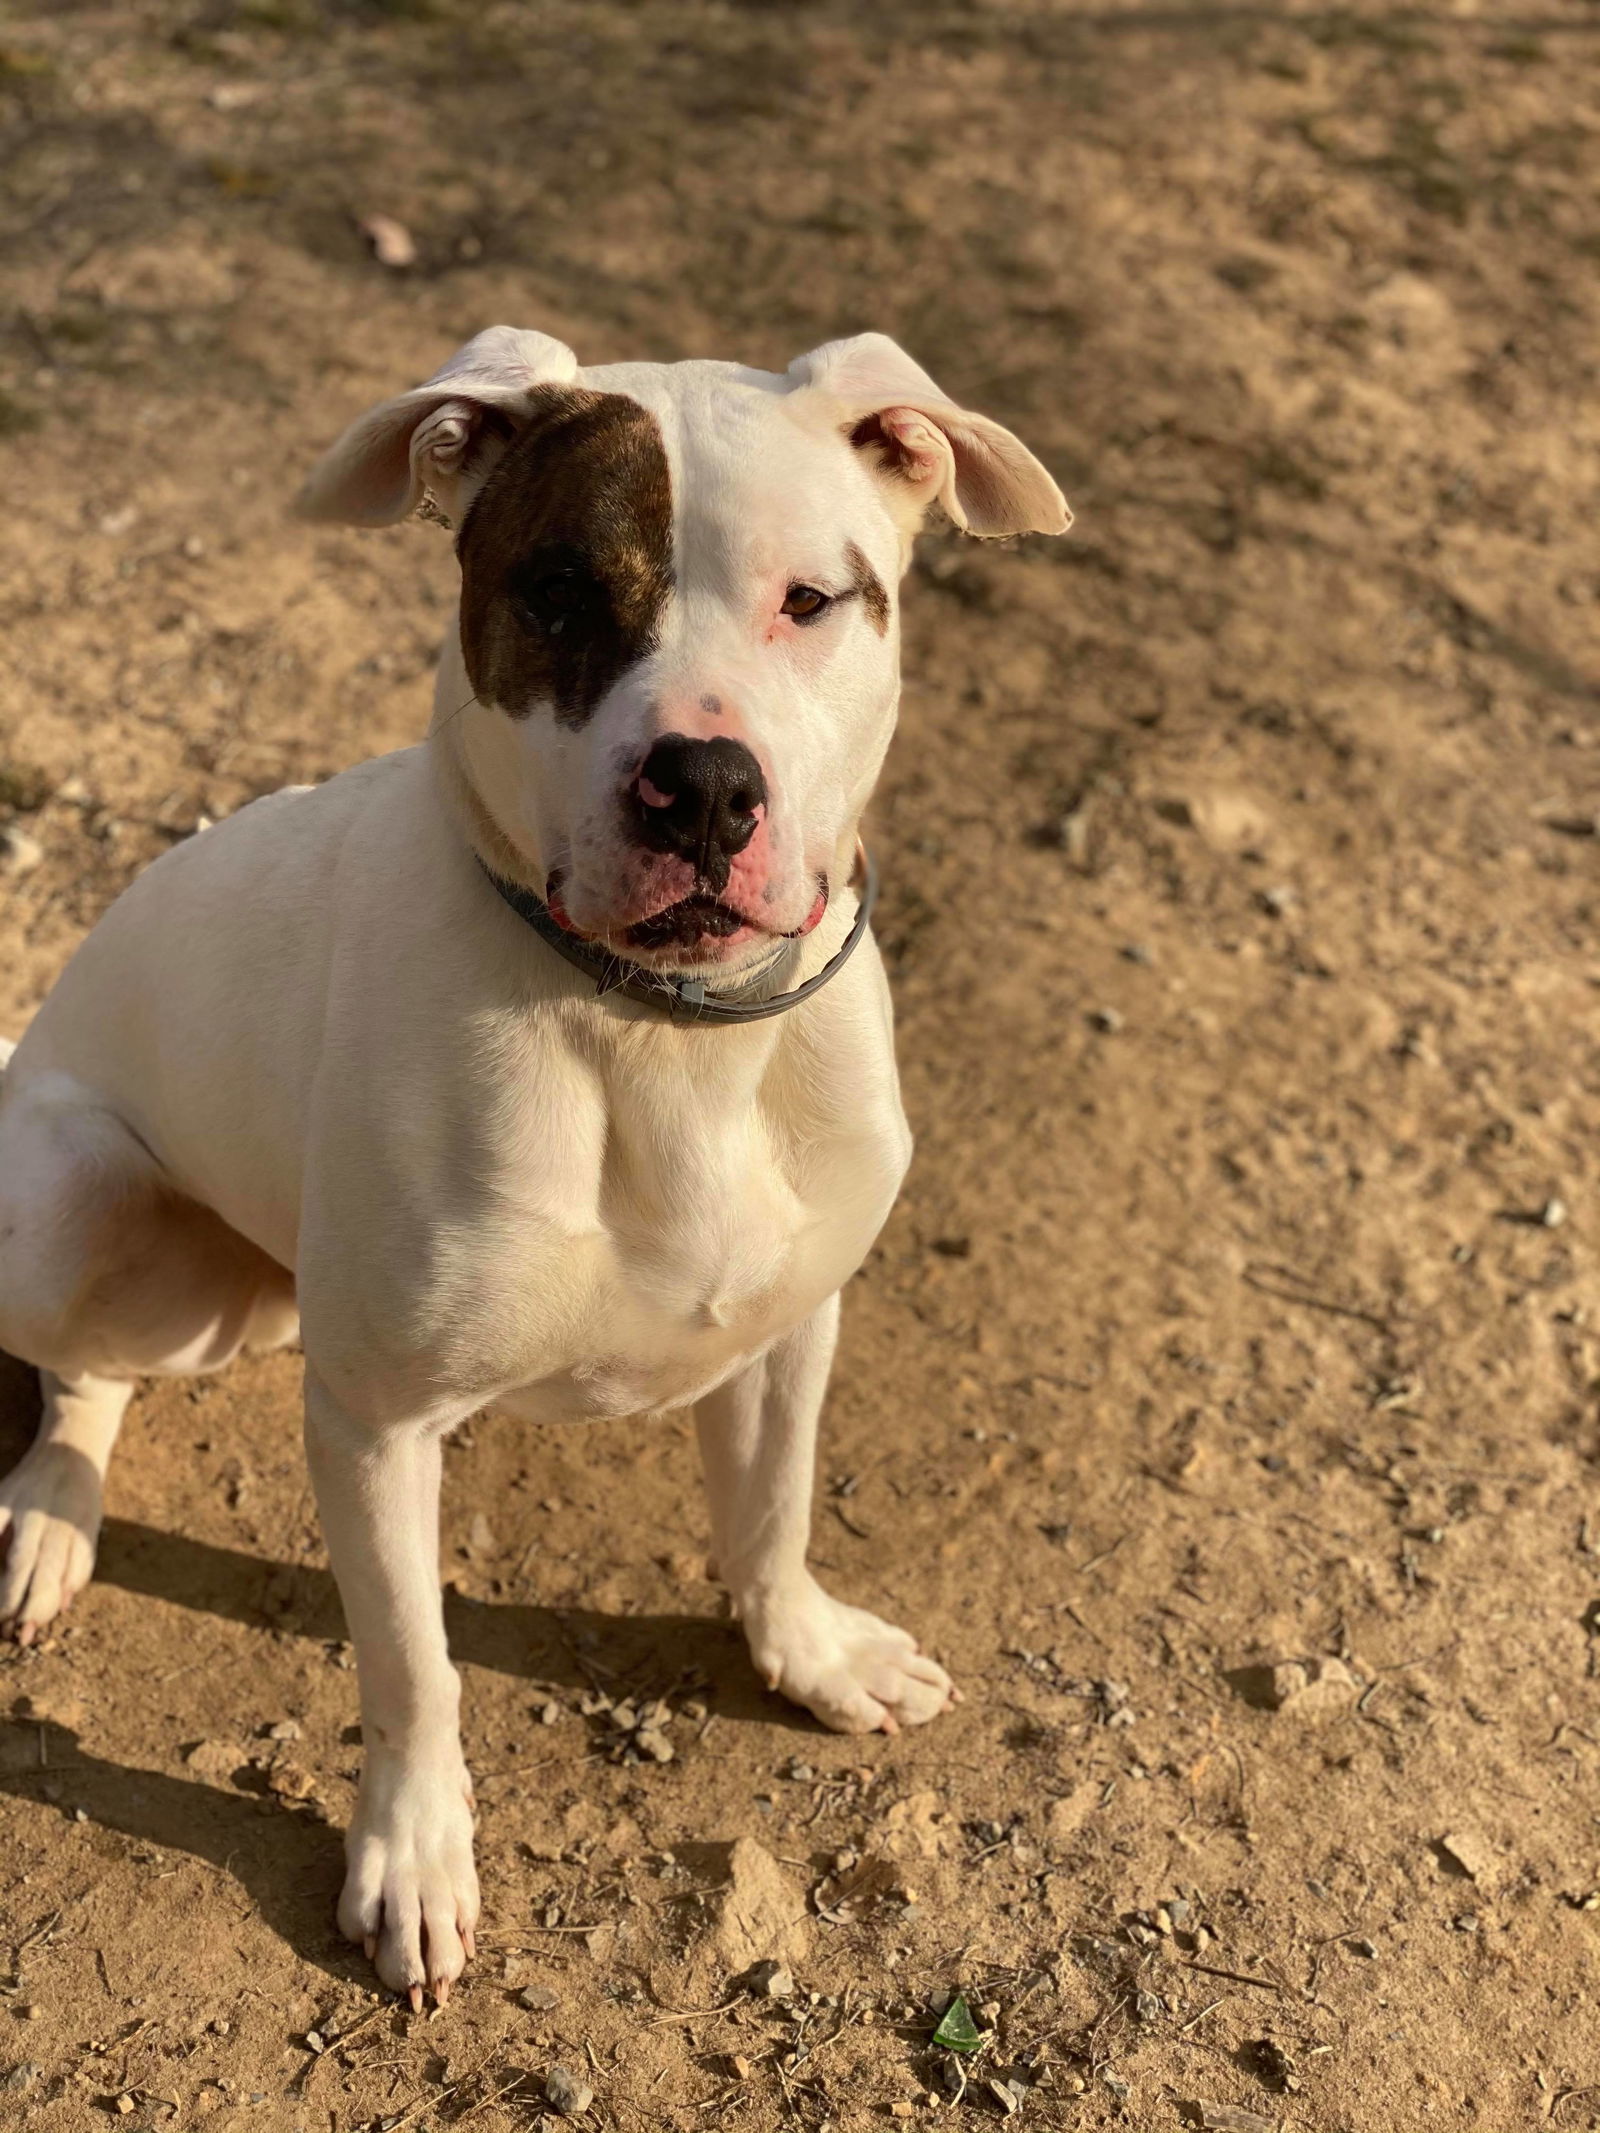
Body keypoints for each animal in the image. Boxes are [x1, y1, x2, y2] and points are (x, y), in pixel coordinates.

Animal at [3, 319, 1079, 1996]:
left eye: (813, 600)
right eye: (562, 589)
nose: (703, 786)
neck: (664, 1036)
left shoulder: (793, 1325)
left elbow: (771, 1512)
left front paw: (808, 1654)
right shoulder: (377, 1427)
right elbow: (413, 1664)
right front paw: (413, 1855)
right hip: (67, 1200)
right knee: (84, 1376)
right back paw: (50, 1520)